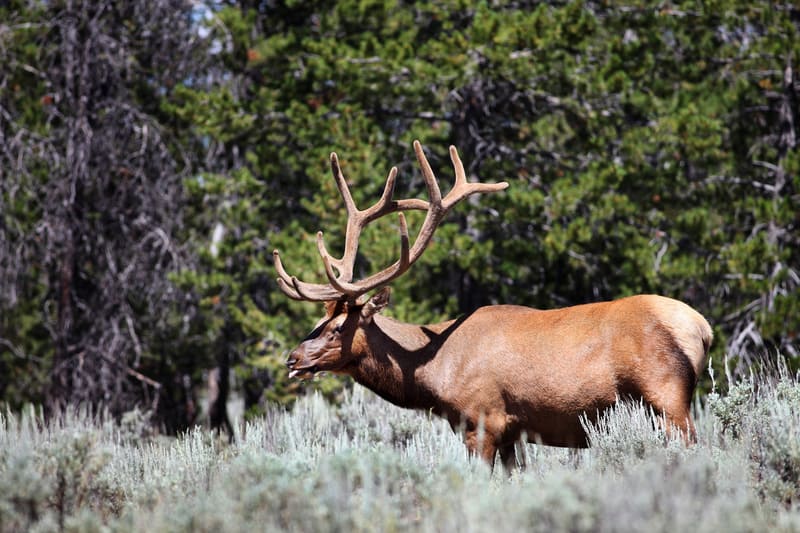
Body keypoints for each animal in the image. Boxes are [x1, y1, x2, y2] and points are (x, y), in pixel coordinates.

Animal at [276, 141, 712, 470]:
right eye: (318, 321)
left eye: (338, 329)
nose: (293, 359)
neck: (433, 370)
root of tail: (702, 328)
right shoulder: (511, 432)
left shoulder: (481, 418)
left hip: (667, 397)